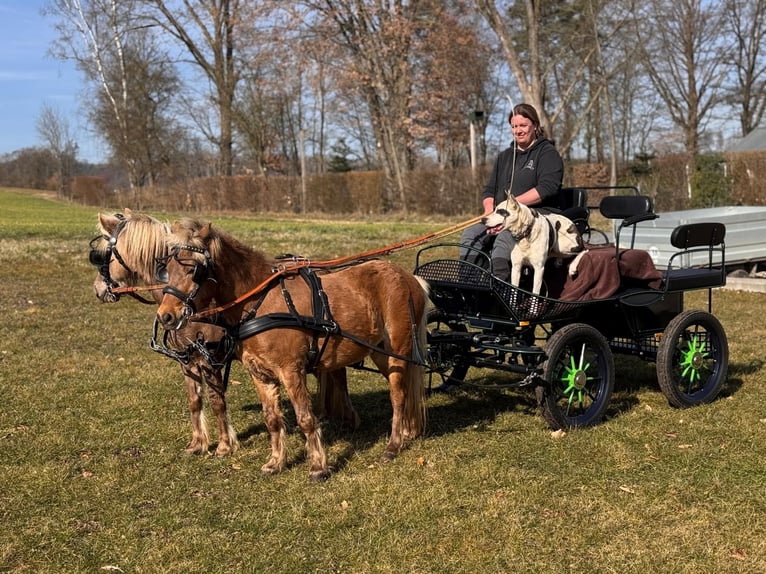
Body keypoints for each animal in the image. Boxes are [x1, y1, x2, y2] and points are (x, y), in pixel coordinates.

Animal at [90, 210, 361, 458]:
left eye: (103, 255)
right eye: (166, 267)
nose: (98, 289)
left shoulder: (208, 359)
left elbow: (217, 401)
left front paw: (224, 445)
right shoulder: (187, 361)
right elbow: (195, 401)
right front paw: (197, 443)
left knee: (338, 375)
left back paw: (347, 419)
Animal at [155, 218, 430, 480]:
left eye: (192, 269)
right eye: (165, 270)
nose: (165, 316)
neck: (259, 301)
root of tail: (409, 278)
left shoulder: (291, 370)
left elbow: (305, 418)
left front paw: (318, 466)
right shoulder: (260, 375)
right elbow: (272, 419)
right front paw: (276, 462)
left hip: (398, 351)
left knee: (398, 396)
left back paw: (393, 445)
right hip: (380, 352)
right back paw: (407, 430)